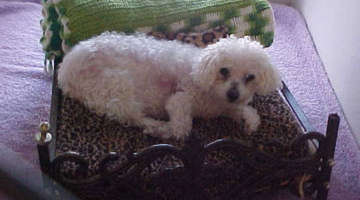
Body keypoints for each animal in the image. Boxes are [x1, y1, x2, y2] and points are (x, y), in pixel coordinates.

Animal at [58, 32, 282, 140]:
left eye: (250, 77)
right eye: (224, 71)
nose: (233, 94)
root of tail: (66, 66)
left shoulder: (222, 107)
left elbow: (248, 112)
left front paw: (249, 122)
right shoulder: (179, 100)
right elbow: (181, 129)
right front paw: (167, 131)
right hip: (117, 87)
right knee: (133, 117)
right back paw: (156, 127)